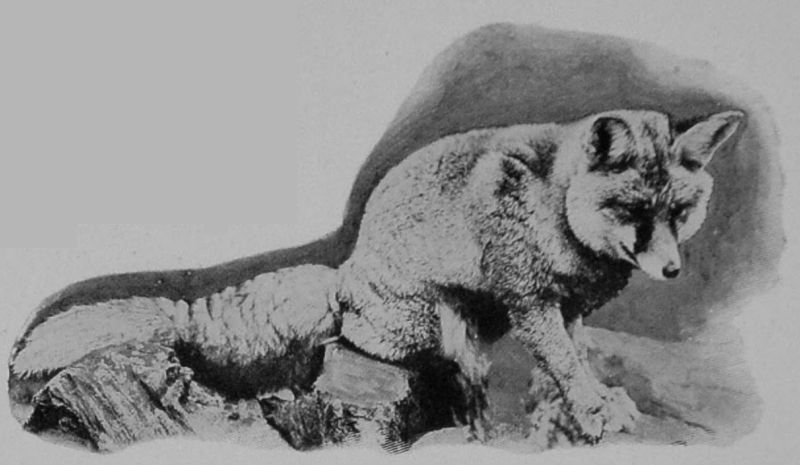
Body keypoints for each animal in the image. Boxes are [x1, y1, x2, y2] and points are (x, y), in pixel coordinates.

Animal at [8, 108, 743, 445]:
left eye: (680, 212)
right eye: (633, 212)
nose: (672, 269)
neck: (559, 216)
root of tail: (347, 271)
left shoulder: (566, 306)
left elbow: (572, 354)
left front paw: (576, 398)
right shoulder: (529, 297)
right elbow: (564, 357)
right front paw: (590, 406)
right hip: (426, 320)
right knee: (374, 344)